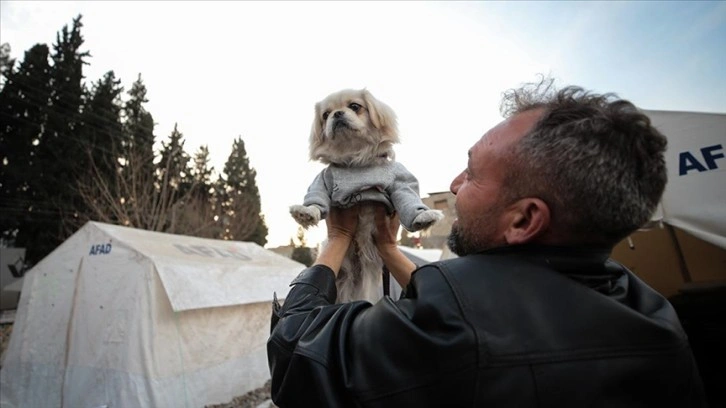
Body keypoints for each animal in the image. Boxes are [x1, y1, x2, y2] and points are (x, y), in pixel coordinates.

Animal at [292, 89, 444, 302]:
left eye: (355, 106)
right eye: (325, 115)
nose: (336, 114)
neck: (356, 161)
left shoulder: (401, 181)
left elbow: (409, 198)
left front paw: (423, 217)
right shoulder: (323, 180)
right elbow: (316, 199)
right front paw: (305, 213)